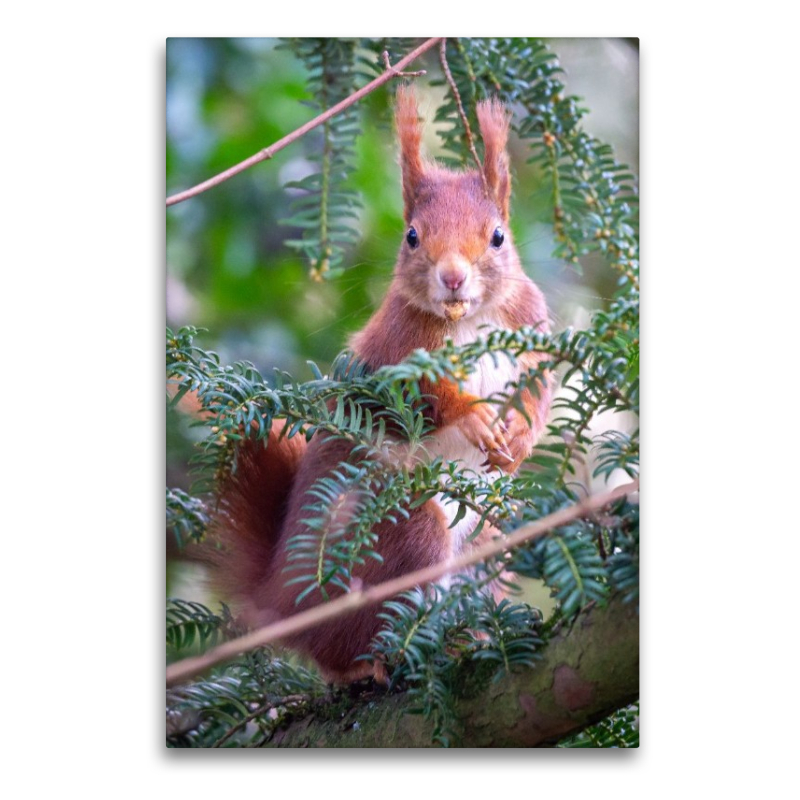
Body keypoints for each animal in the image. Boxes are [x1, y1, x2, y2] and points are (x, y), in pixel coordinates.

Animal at [208, 87, 552, 683]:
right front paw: (473, 416)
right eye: (412, 236)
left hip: (488, 542)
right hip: (404, 533)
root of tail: (285, 601)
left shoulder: (532, 332)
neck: (470, 319)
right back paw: (383, 660)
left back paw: (475, 635)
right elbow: (418, 398)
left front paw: (519, 436)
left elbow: (542, 389)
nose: (453, 277)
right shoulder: (393, 356)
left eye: (498, 237)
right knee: (351, 643)